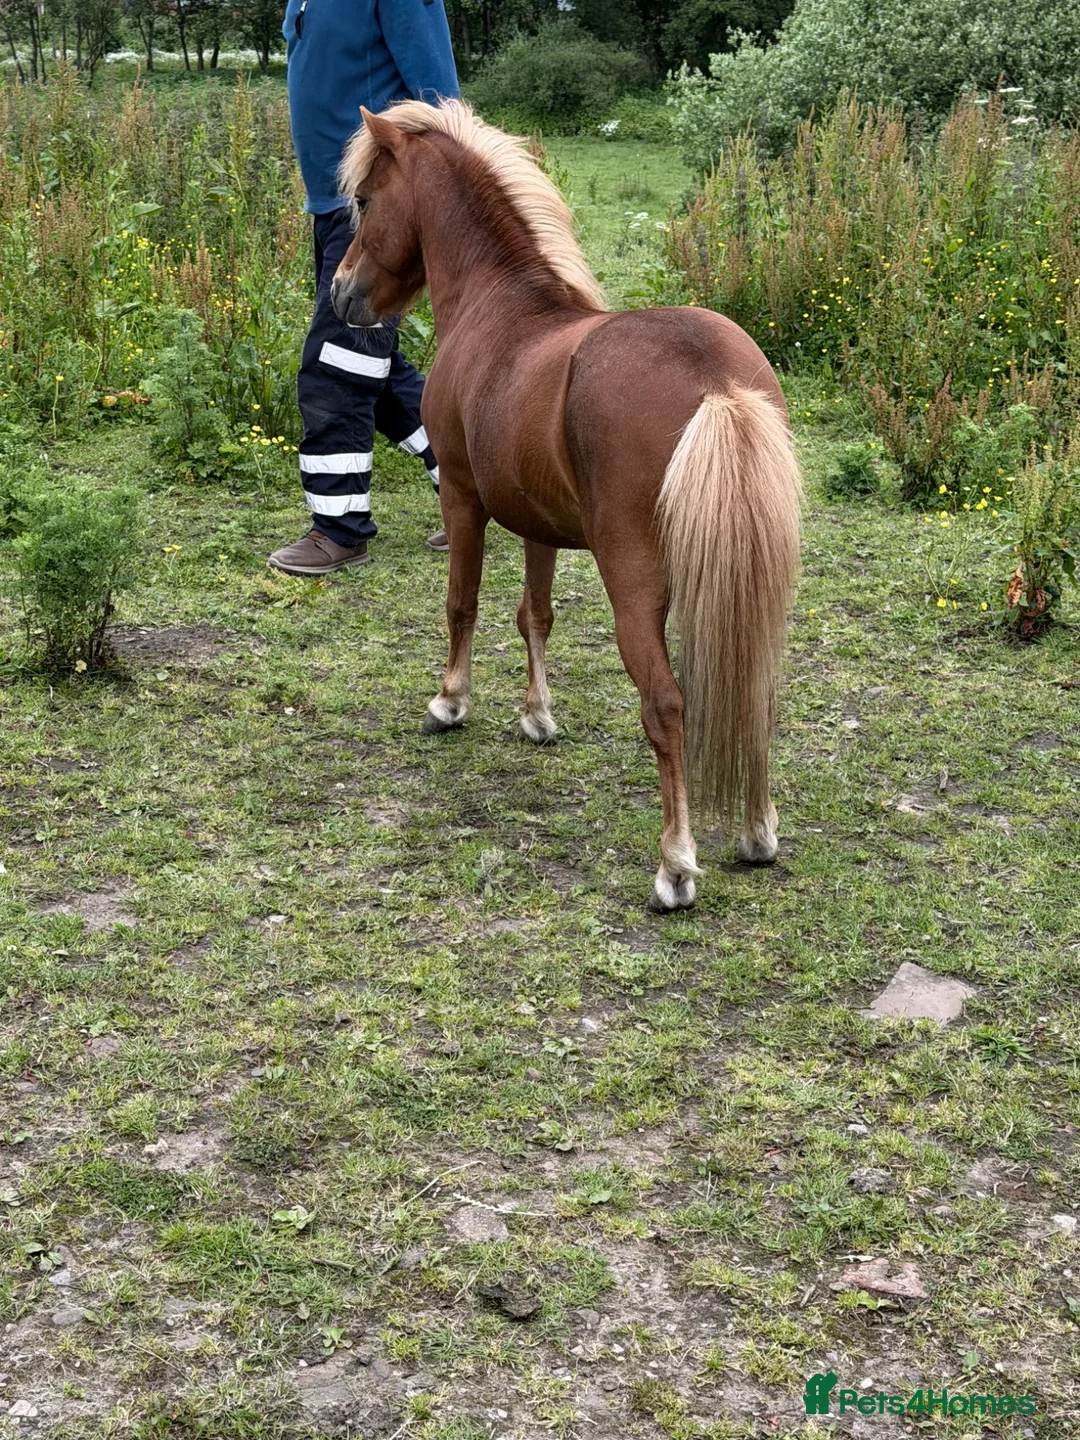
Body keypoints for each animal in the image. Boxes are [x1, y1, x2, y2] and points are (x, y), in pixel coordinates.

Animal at [331, 100, 801, 912]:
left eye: (364, 200)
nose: (341, 291)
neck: (500, 302)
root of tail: (718, 384)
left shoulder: (464, 498)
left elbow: (463, 604)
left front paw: (450, 702)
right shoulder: (537, 523)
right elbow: (535, 615)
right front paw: (538, 716)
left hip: (635, 584)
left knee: (667, 705)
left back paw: (676, 865)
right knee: (754, 692)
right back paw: (755, 834)